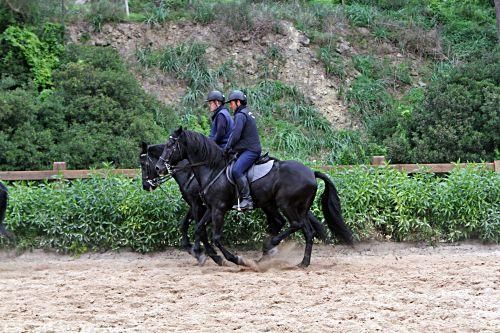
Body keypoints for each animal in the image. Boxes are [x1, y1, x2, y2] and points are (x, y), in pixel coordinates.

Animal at [156, 127, 352, 268]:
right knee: (307, 231)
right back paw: (302, 262)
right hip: (295, 207)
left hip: (285, 204)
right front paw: (201, 253)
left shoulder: (218, 209)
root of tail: (311, 172)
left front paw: (233, 259)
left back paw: (270, 247)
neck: (212, 169)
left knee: (294, 225)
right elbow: (198, 229)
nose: (159, 168)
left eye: (170, 145)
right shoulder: (210, 208)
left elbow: (216, 237)